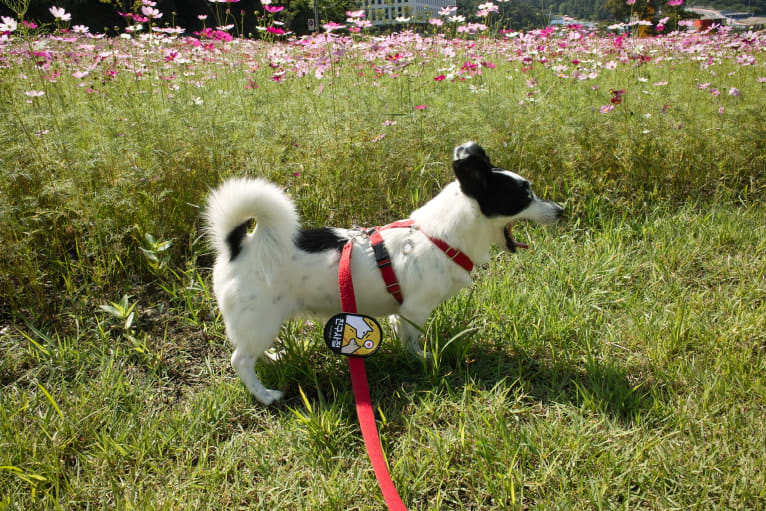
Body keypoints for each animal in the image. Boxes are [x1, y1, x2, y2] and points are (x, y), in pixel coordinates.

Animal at [204, 141, 564, 404]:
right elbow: (412, 339)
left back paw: (271, 358)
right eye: (525, 196)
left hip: (260, 324)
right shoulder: (416, 309)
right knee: (239, 360)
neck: (439, 236)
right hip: (261, 319)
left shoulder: (401, 309)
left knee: (250, 352)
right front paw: (422, 358)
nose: (561, 210)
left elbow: (398, 328)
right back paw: (265, 395)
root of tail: (240, 246)